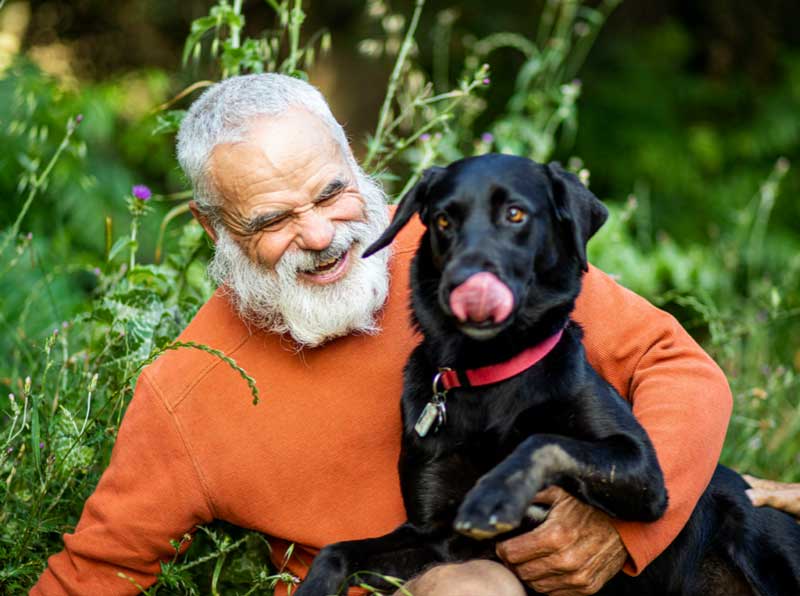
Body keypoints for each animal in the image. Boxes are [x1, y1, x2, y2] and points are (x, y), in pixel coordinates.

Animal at [296, 155, 800, 596]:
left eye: (515, 214)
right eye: (442, 220)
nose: (464, 282)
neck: (490, 373)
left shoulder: (643, 472)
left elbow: (544, 441)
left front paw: (494, 494)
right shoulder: (435, 535)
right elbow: (338, 552)